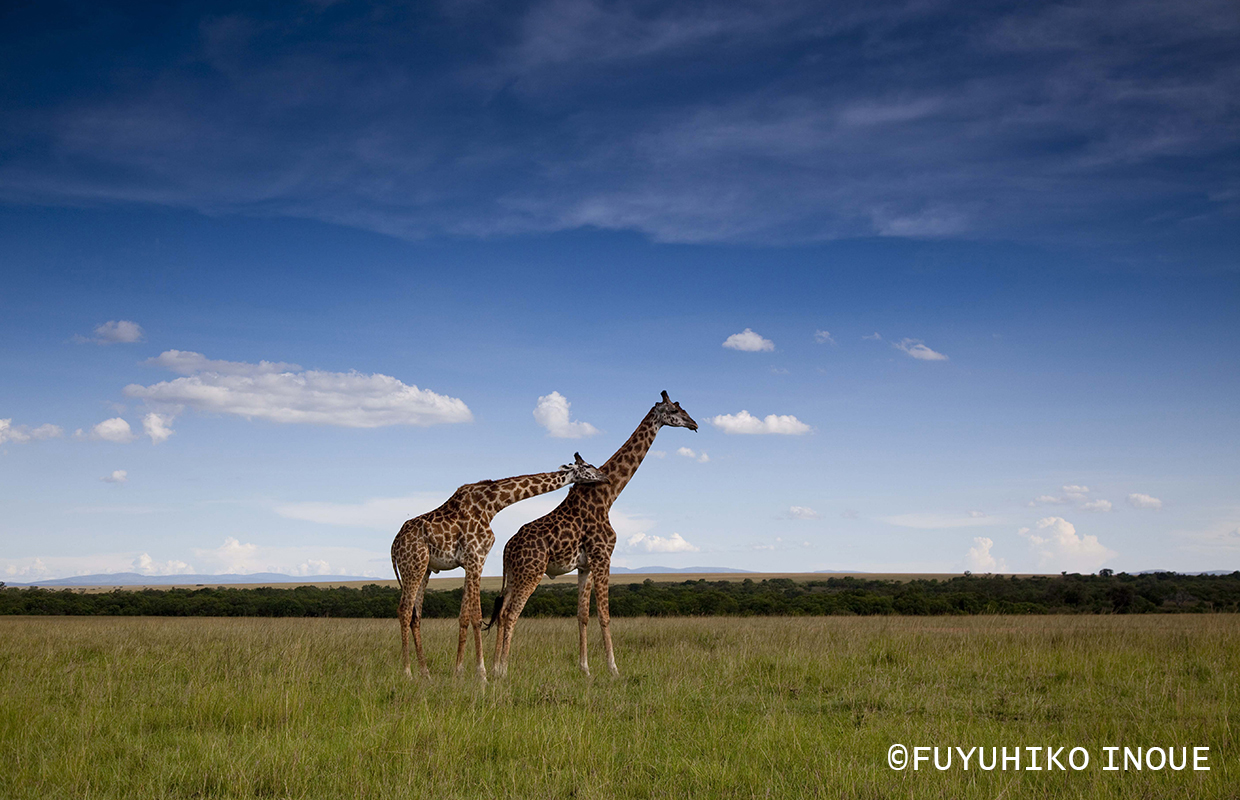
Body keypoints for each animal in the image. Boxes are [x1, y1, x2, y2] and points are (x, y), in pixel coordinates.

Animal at [390, 453, 608, 680]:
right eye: (587, 466)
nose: (605, 477)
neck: (491, 505)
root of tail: (394, 545)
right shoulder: (475, 557)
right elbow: (477, 616)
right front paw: (482, 673)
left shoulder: (472, 561)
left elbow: (464, 616)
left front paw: (460, 672)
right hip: (412, 565)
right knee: (404, 610)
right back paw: (407, 672)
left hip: (424, 568)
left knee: (415, 615)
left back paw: (425, 673)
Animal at [487, 391, 698, 678]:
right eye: (675, 411)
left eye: (682, 408)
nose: (694, 424)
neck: (607, 497)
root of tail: (507, 548)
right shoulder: (603, 556)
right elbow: (605, 616)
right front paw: (614, 669)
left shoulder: (584, 566)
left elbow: (583, 616)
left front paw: (585, 669)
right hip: (531, 572)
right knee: (510, 614)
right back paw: (503, 671)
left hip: (514, 575)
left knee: (501, 612)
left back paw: (495, 668)